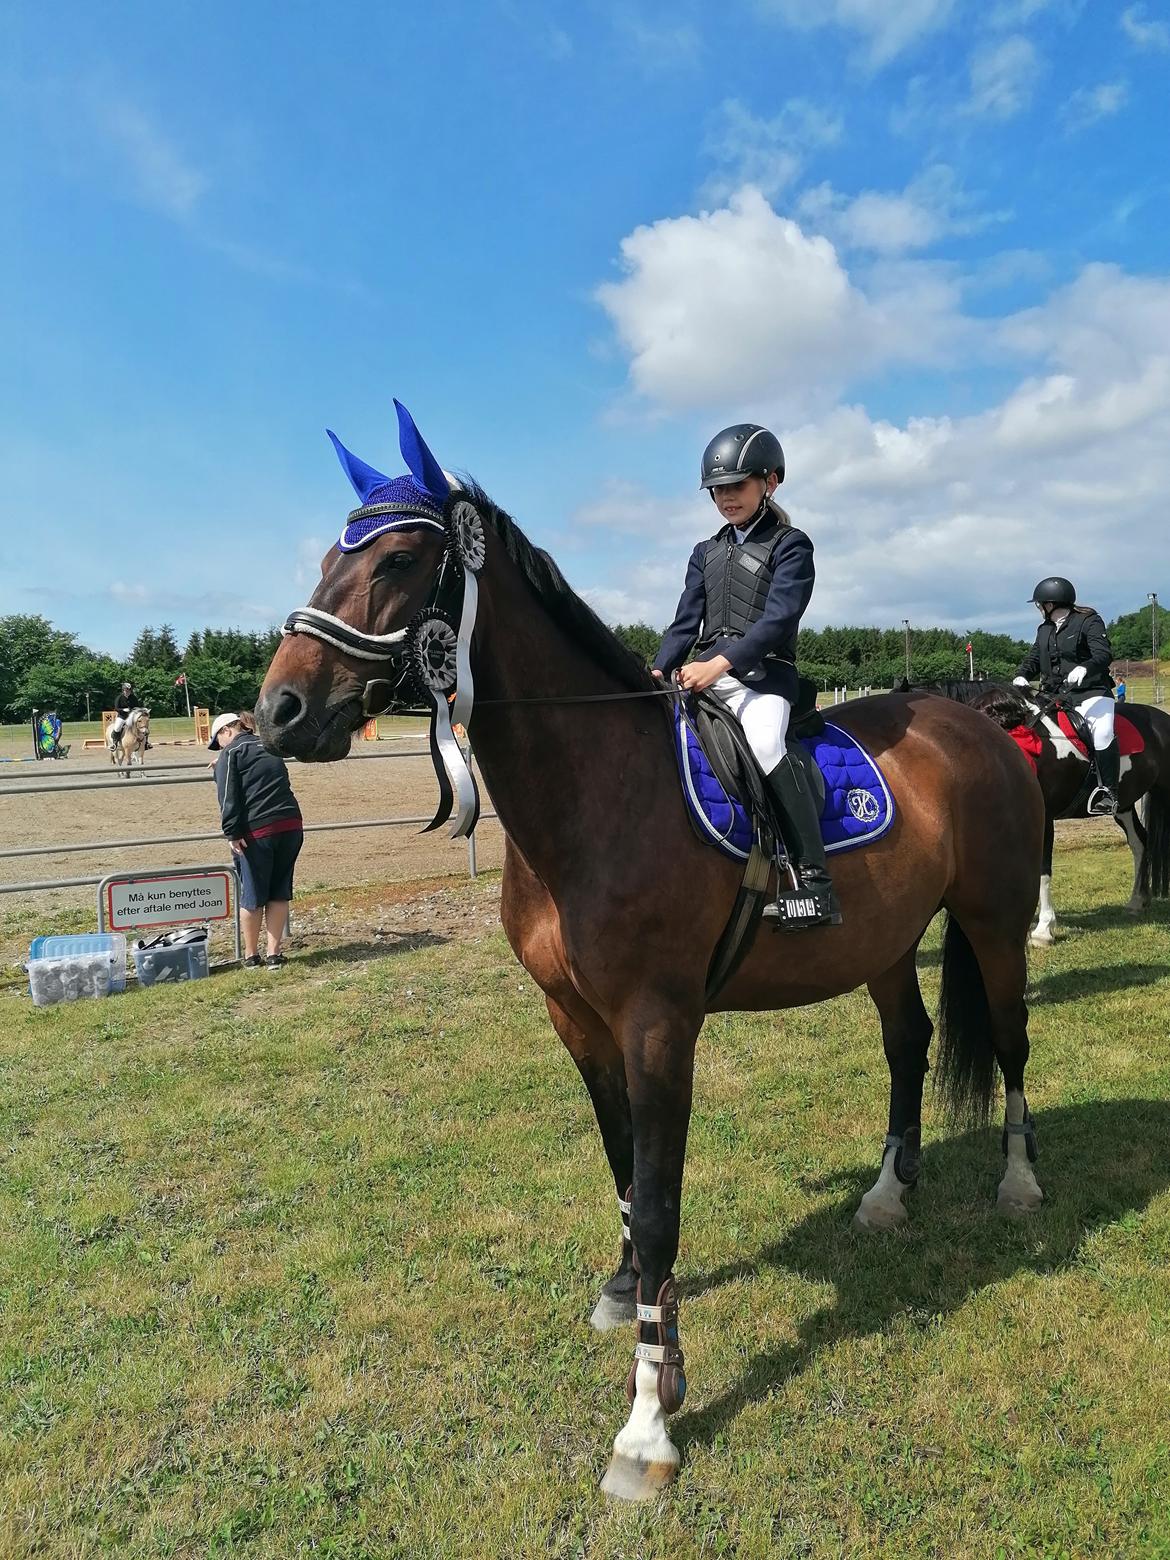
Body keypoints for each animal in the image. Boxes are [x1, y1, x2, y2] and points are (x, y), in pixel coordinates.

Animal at [255, 452, 1042, 1497]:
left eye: (397, 560)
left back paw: (1020, 1183)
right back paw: (886, 1195)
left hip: (995, 923)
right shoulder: (577, 1020)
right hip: (883, 946)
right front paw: (628, 1293)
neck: (596, 794)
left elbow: (663, 1202)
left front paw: (646, 1423)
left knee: (1010, 1041)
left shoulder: (659, 1024)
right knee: (908, 1046)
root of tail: (979, 723)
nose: (280, 711)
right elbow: (622, 1165)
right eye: (328, 557)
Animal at [917, 683, 1170, 948]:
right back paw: (1137, 901)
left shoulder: (1044, 818)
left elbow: (1042, 870)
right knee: (1140, 842)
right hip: (1124, 806)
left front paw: (1043, 930)